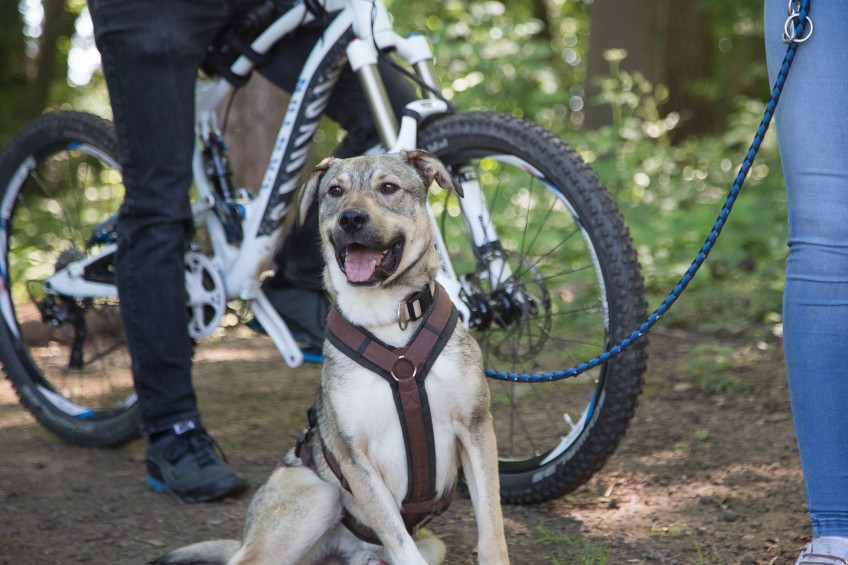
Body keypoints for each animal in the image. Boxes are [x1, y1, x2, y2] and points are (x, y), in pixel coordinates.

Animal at [155, 150, 506, 564]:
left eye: (389, 187)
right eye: (335, 191)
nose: (350, 219)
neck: (388, 319)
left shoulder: (476, 428)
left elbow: (491, 530)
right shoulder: (355, 459)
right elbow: (401, 543)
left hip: (428, 542)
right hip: (318, 496)